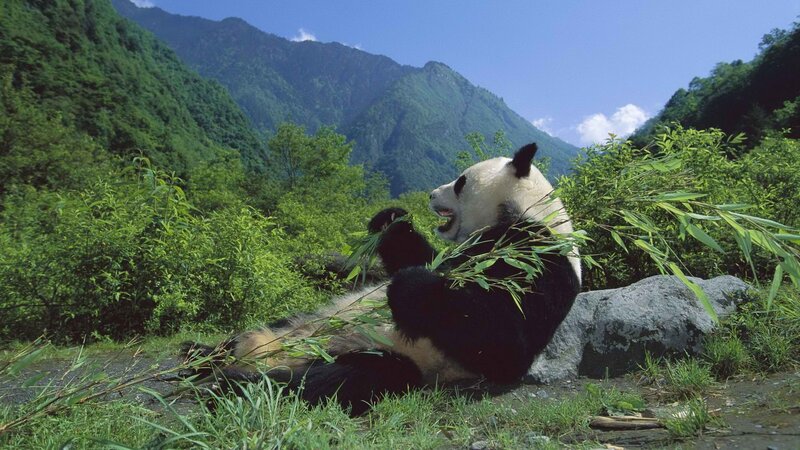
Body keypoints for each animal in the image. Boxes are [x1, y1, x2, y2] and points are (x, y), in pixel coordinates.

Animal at [183, 143, 581, 415]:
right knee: (260, 332)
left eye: (461, 182)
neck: (525, 212)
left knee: (340, 379)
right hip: (303, 319)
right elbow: (421, 255)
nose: (431, 194)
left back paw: (237, 383)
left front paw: (411, 287)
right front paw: (391, 218)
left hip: (384, 354)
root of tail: (272, 352)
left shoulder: (540, 259)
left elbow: (504, 342)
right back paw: (201, 353)